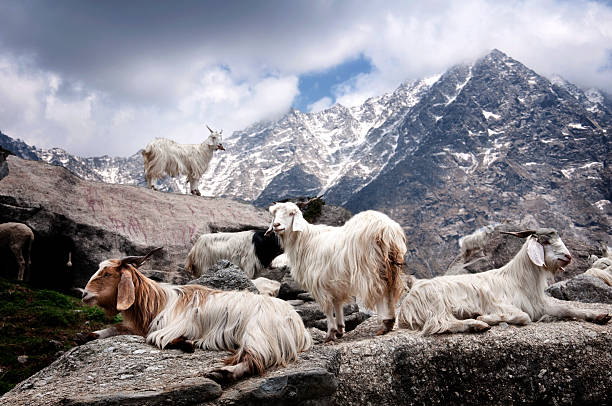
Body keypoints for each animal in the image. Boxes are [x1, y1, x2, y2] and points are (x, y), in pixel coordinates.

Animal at [81, 247, 310, 384]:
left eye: (108, 274)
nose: (84, 295)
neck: (158, 302)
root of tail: (296, 322)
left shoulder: (171, 326)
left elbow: (157, 338)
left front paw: (185, 343)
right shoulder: (141, 326)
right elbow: (118, 328)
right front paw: (89, 335)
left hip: (258, 334)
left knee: (254, 360)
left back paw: (222, 373)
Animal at [264, 201, 404, 340]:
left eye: (291, 213)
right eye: (274, 214)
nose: (276, 225)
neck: (305, 240)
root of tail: (385, 229)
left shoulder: (319, 283)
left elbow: (327, 308)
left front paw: (330, 333)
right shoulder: (334, 282)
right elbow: (337, 303)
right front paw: (340, 329)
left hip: (370, 267)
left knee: (380, 291)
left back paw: (384, 324)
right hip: (390, 266)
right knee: (389, 290)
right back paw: (390, 321)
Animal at [400, 227, 608, 334]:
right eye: (546, 242)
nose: (568, 256)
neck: (518, 279)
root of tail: (407, 304)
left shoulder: (539, 305)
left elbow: (568, 309)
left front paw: (599, 315)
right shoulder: (501, 304)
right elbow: (523, 317)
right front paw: (485, 317)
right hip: (437, 303)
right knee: (439, 324)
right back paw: (477, 324)